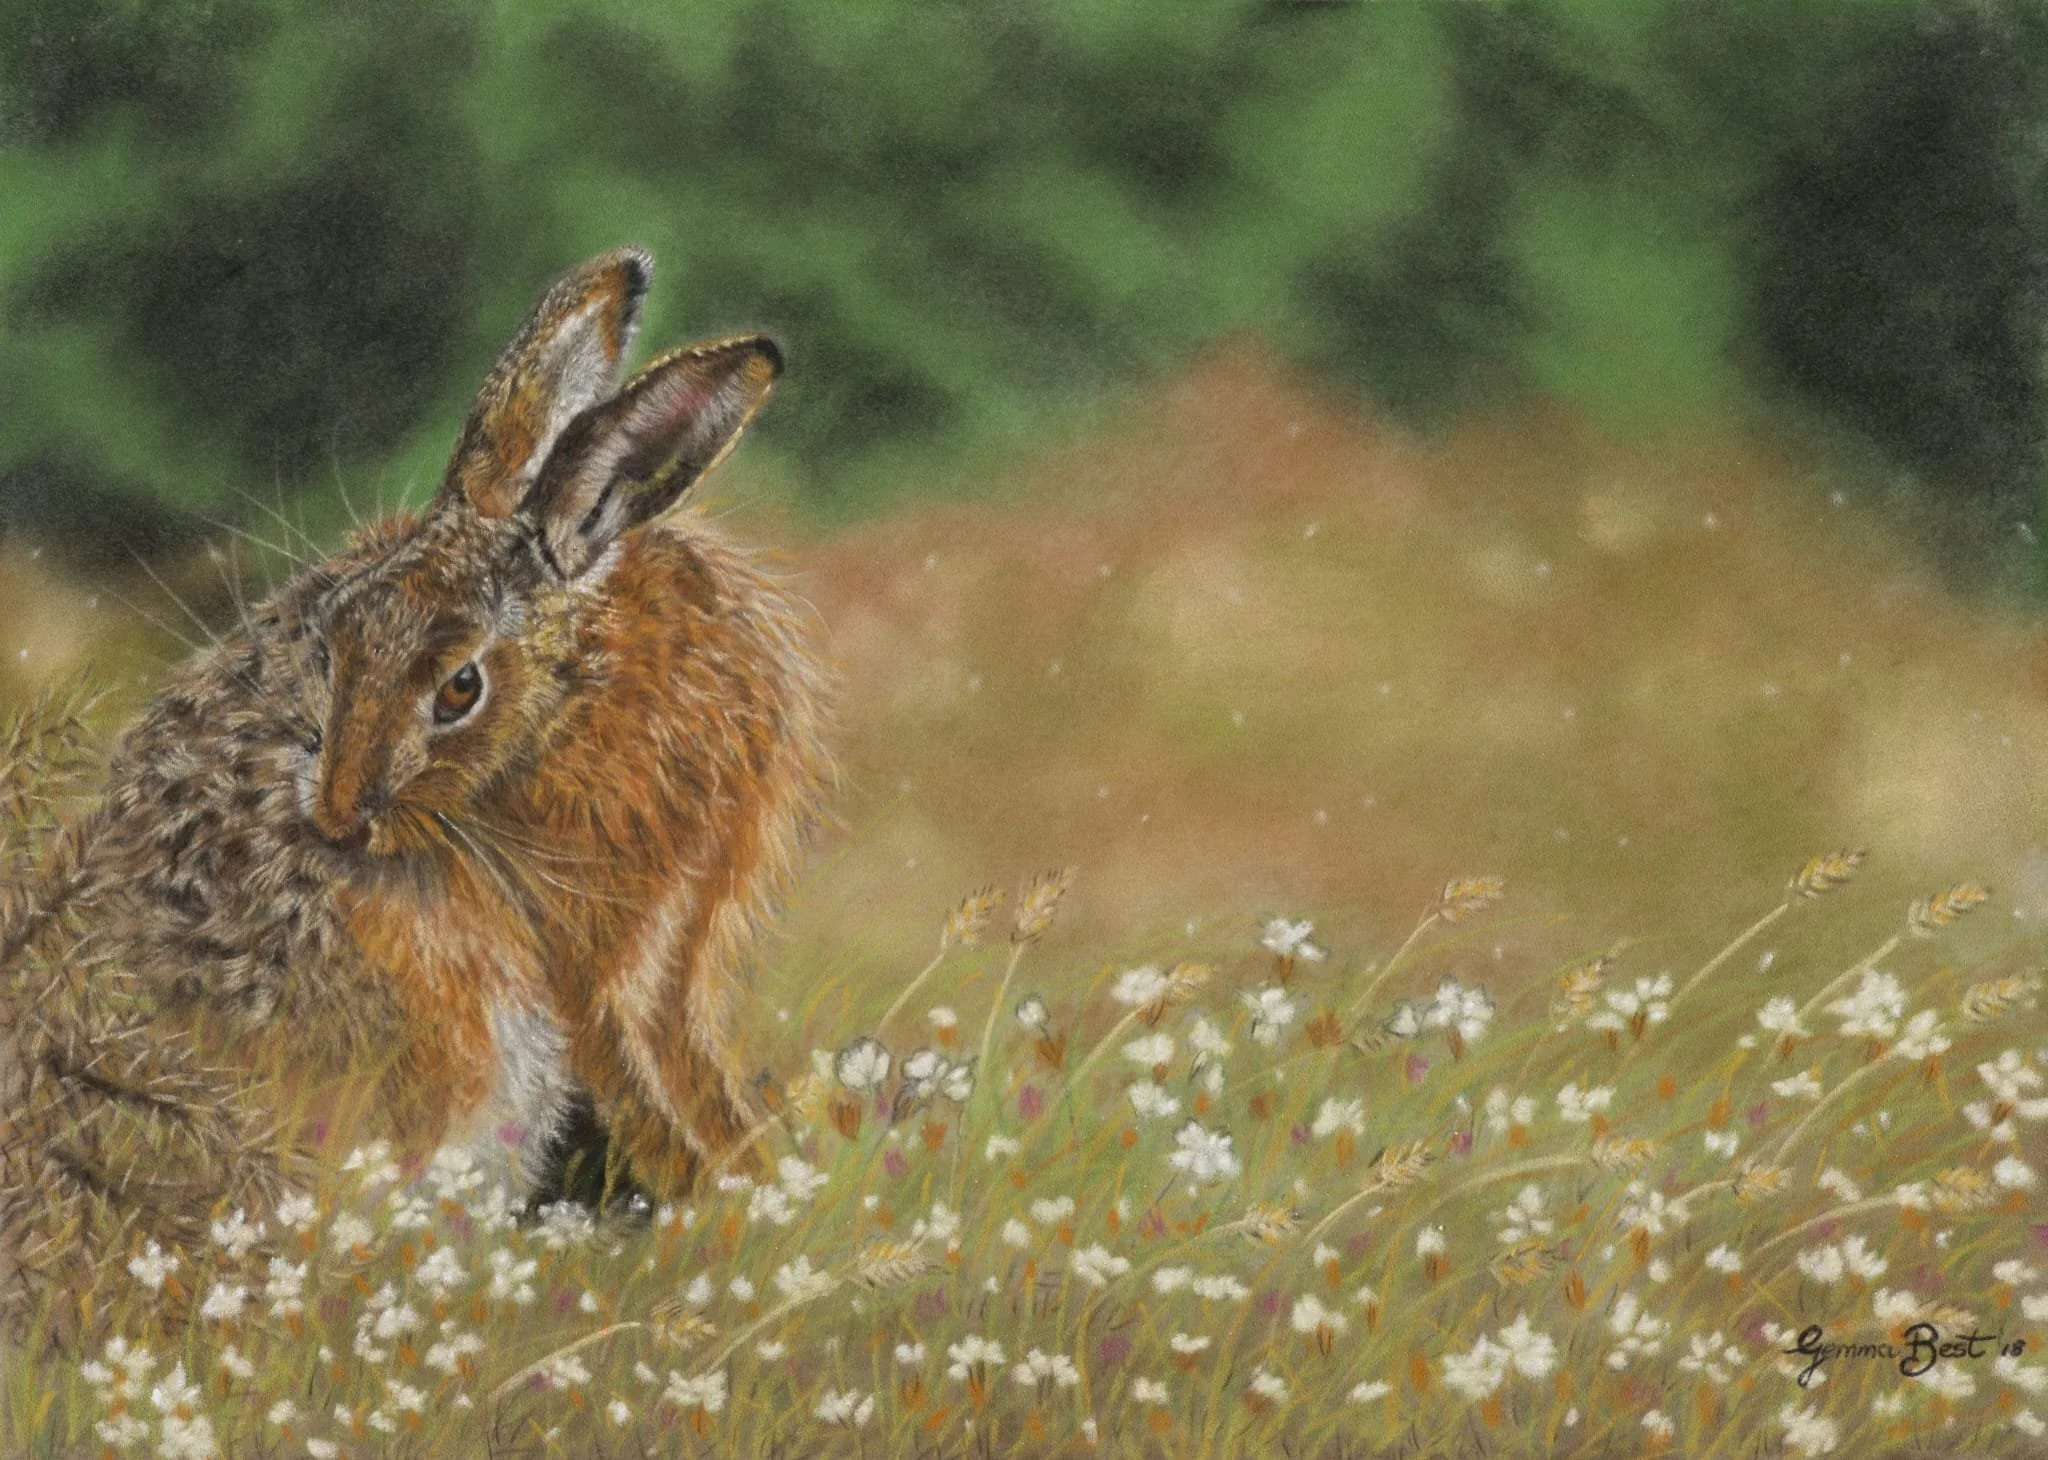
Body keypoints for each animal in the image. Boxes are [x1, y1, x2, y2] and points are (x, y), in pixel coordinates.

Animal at [47, 247, 830, 1201]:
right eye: (334, 636)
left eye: (461, 688)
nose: (337, 818)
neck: (575, 692)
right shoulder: (602, 954)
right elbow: (643, 1069)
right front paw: (736, 1191)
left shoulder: (668, 943)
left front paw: (758, 1179)